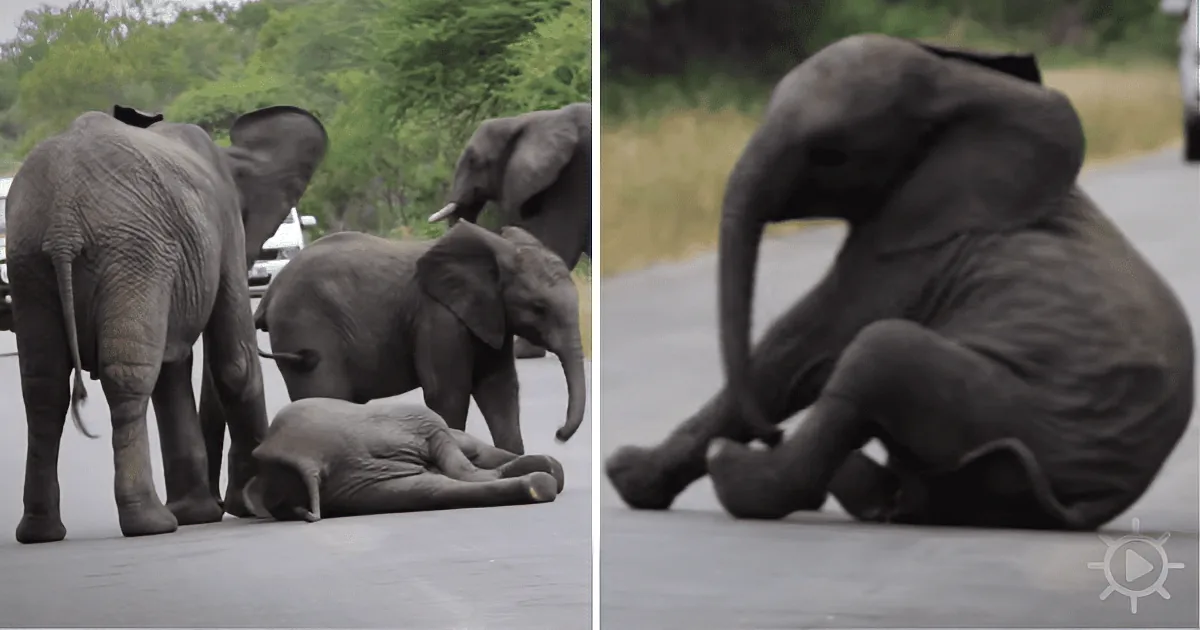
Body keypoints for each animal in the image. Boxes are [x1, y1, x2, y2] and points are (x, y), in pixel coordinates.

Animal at [5, 104, 327, 543]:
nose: (225, 502)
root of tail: (63, 219)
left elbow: (175, 369)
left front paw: (199, 514)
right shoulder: (224, 226)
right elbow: (235, 363)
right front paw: (256, 508)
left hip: (31, 260)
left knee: (44, 388)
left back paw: (41, 532)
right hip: (130, 252)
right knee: (127, 377)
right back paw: (150, 522)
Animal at [253, 221, 587, 456]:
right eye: (539, 308)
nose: (559, 434)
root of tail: (269, 294)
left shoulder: (490, 317)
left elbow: (499, 388)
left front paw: (516, 463)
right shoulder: (438, 316)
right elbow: (448, 393)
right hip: (305, 325)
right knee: (326, 397)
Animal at [605, 35, 1195, 531]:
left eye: (832, 154)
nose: (770, 433)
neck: (963, 85)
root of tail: (1083, 506)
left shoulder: (912, 251)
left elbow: (800, 350)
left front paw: (628, 475)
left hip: (1030, 418)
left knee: (878, 354)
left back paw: (738, 471)